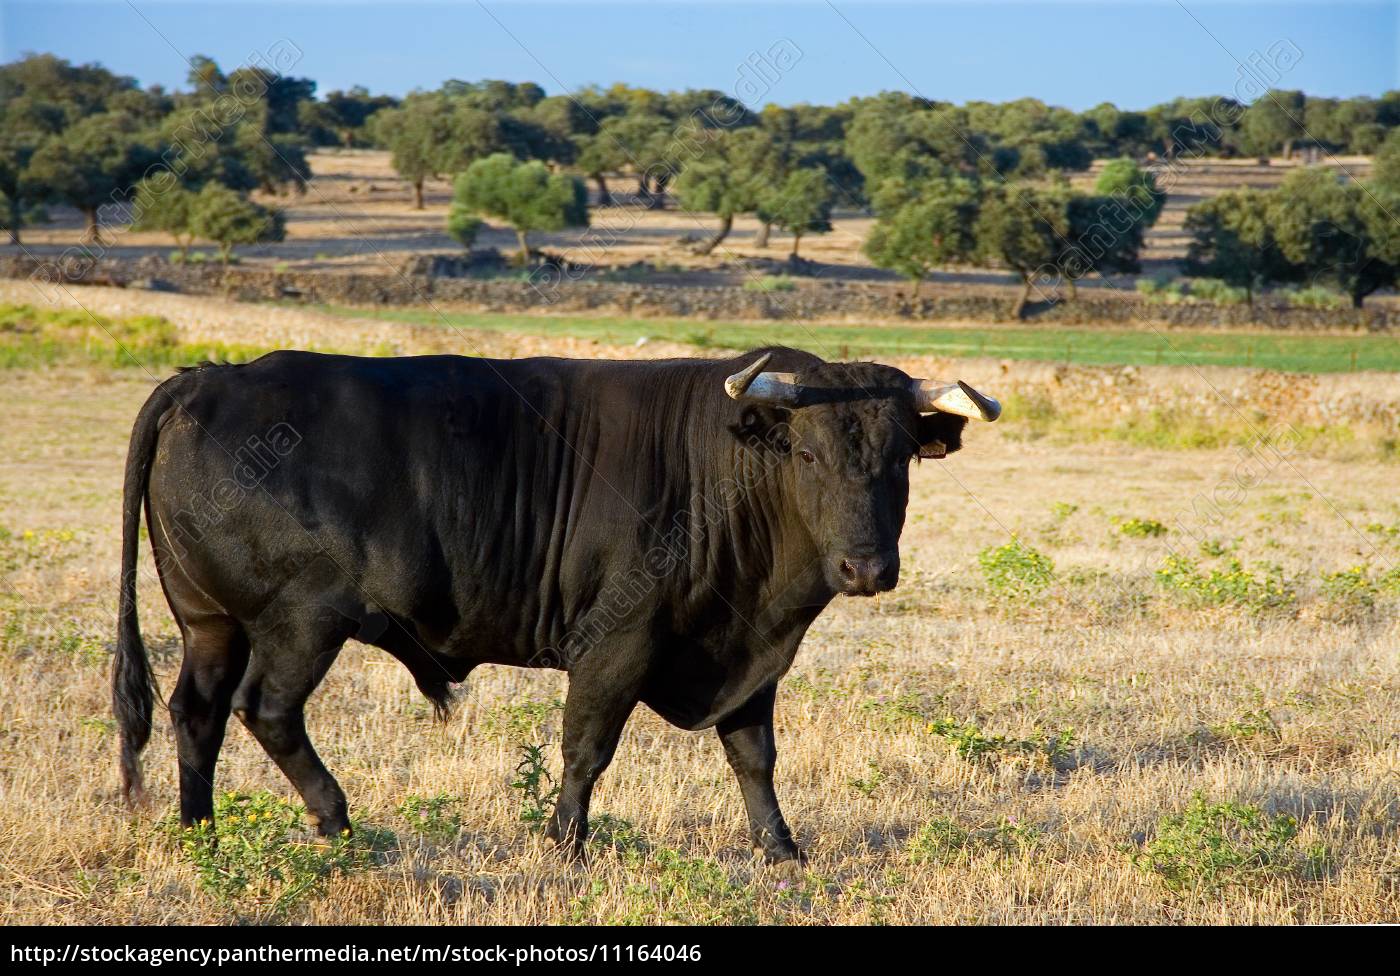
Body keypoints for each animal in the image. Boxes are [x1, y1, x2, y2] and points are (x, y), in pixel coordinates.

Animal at [112, 344, 985, 862]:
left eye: (901, 457)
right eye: (807, 452)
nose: (865, 566)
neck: (723, 462)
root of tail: (208, 377)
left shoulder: (748, 655)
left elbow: (753, 755)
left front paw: (781, 849)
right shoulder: (616, 644)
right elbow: (586, 748)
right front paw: (566, 843)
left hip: (210, 624)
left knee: (198, 712)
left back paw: (200, 830)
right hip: (301, 625)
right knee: (267, 711)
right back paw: (338, 821)